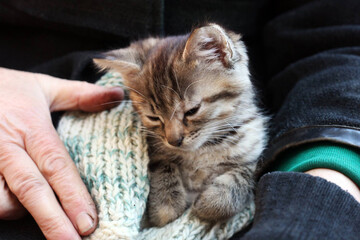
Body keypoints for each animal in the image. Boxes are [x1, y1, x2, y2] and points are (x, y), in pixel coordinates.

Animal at [93, 23, 268, 227]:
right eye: (153, 117)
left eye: (192, 110)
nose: (174, 141)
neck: (203, 149)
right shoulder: (156, 152)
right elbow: (163, 166)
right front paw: (166, 205)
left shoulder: (254, 155)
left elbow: (243, 177)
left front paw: (212, 203)